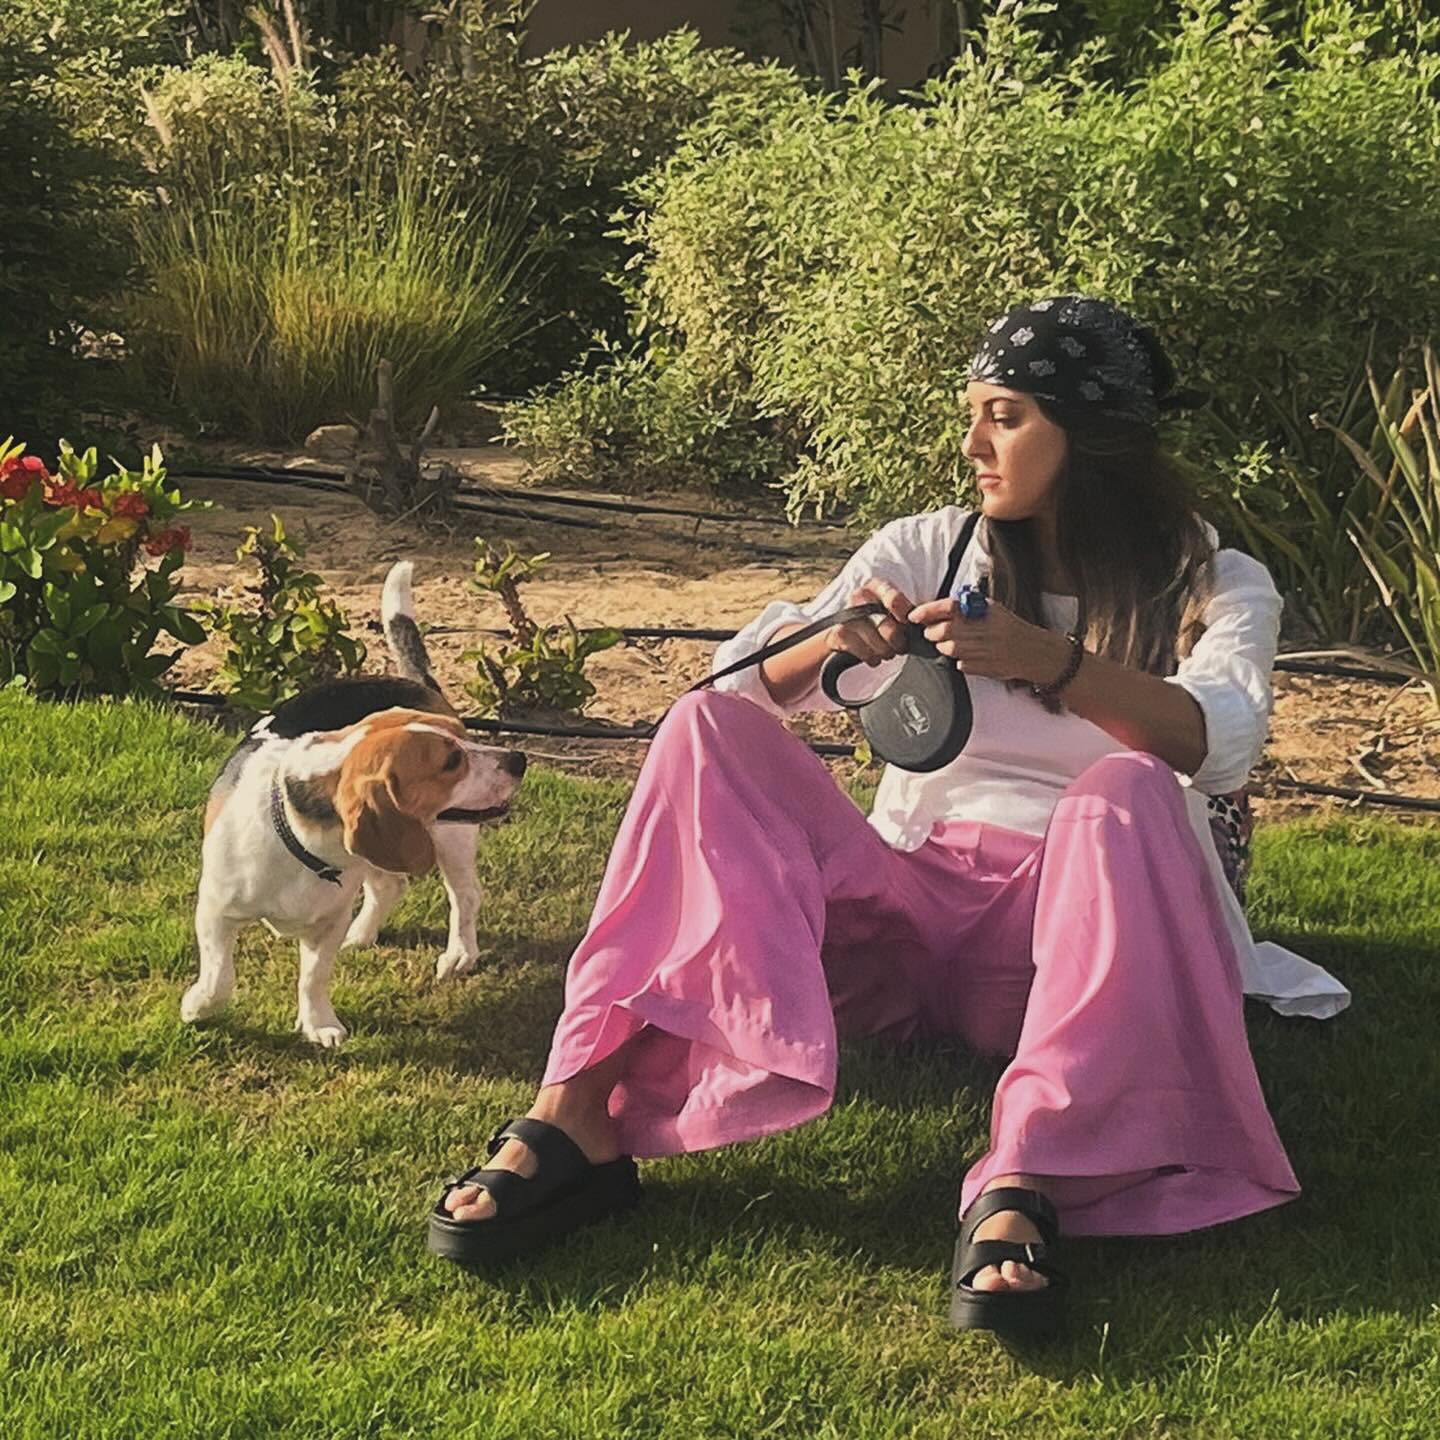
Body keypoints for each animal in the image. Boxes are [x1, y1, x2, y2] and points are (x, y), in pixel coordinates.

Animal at [181, 561, 526, 1047]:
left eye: (462, 740)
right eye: (450, 761)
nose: (519, 760)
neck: (300, 840)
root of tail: (414, 681)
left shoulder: (328, 921)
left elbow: (313, 977)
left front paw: (319, 1023)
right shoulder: (215, 910)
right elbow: (219, 975)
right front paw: (198, 1007)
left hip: (451, 839)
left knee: (464, 897)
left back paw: (459, 953)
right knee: (389, 887)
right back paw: (363, 934)